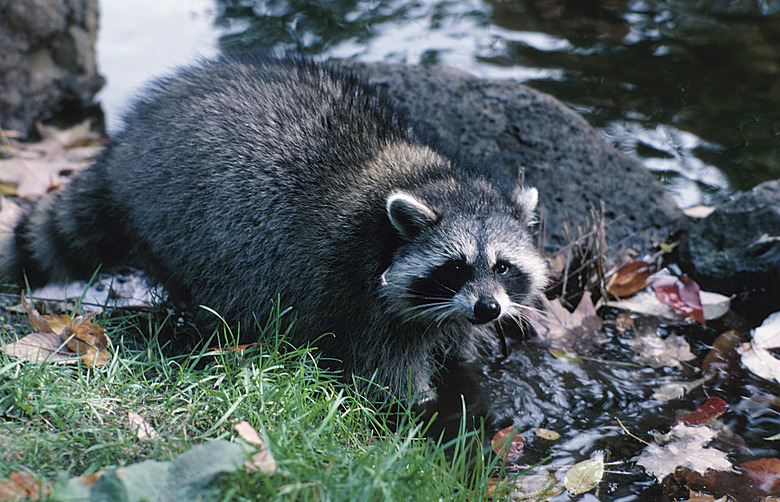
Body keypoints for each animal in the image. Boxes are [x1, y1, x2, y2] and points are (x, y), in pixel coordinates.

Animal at [0, 55, 544, 400]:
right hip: (184, 223)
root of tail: (120, 154)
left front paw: (467, 370)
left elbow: (460, 349)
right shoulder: (362, 298)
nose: (489, 308)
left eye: (502, 265)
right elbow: (389, 380)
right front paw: (422, 407)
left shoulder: (448, 311)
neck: (430, 181)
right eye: (455, 266)